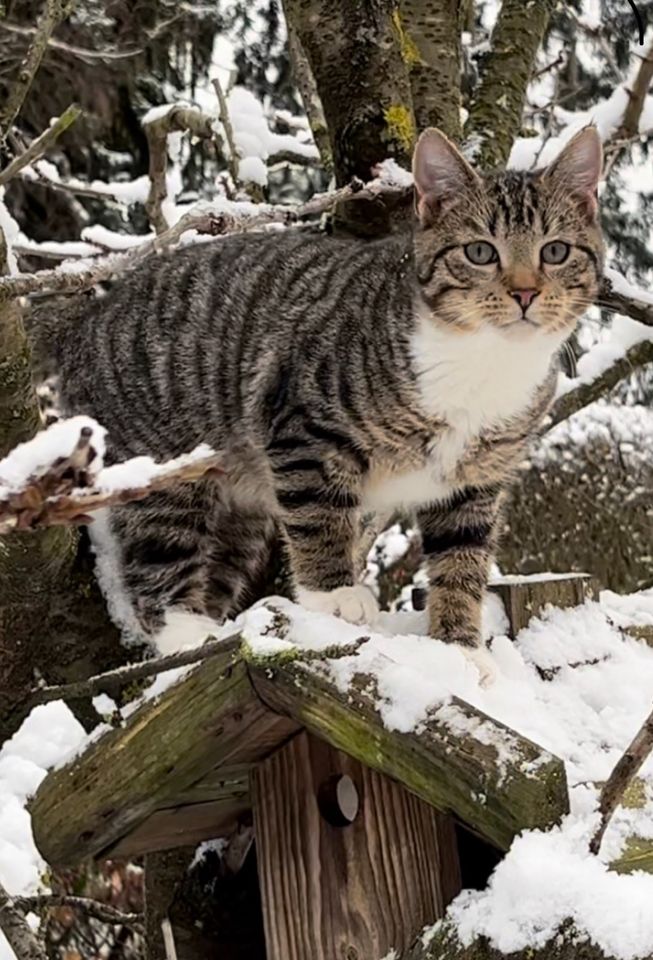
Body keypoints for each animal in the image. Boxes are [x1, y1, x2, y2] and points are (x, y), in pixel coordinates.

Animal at [43, 125, 604, 684]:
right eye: (481, 252)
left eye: (556, 251)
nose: (525, 293)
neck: (482, 362)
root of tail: (86, 321)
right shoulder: (307, 425)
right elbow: (319, 516)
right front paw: (334, 598)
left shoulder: (476, 479)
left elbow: (461, 559)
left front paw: (460, 649)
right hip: (165, 461)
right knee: (157, 557)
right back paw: (190, 637)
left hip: (241, 508)